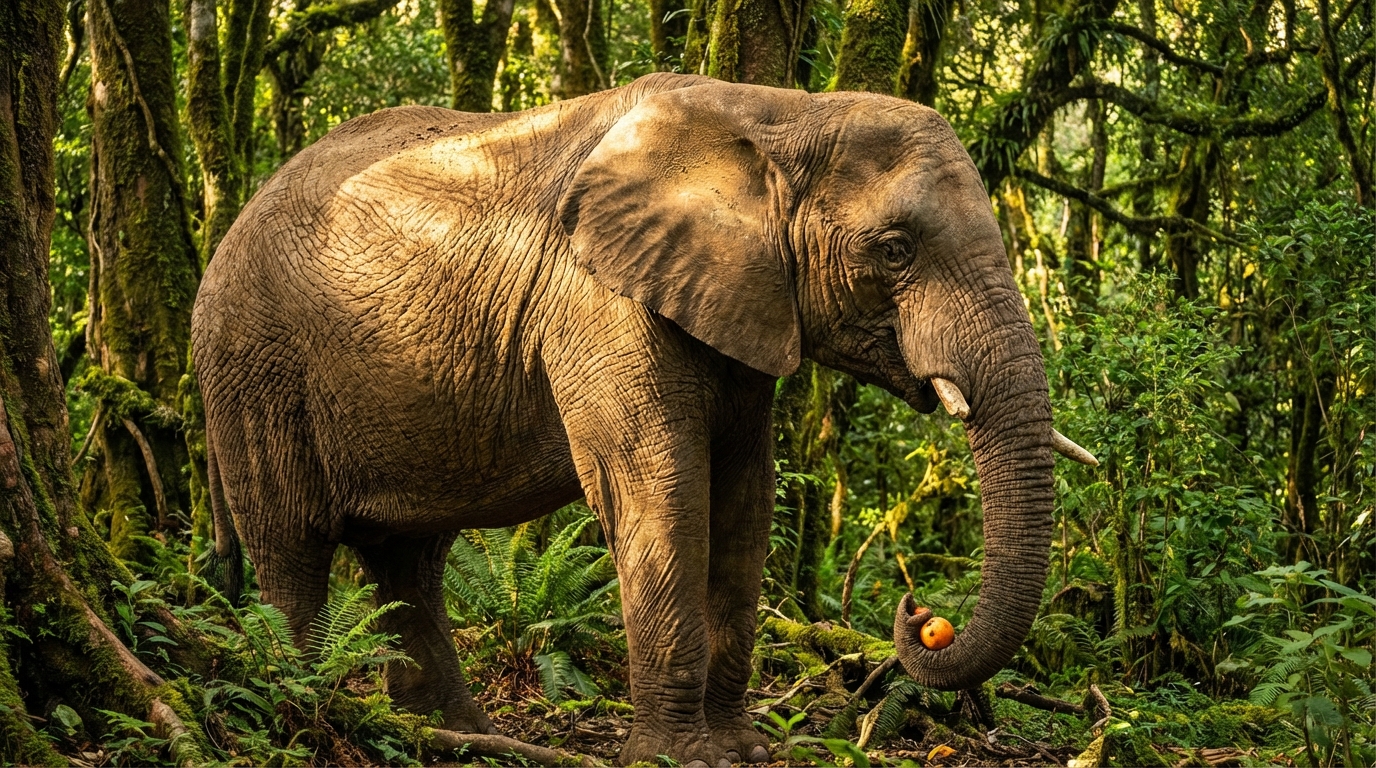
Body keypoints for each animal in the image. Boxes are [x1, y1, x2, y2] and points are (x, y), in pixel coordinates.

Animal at [191, 71, 1096, 766]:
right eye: (897, 249)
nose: (917, 616)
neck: (782, 114)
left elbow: (745, 499)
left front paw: (744, 753)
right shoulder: (598, 302)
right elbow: (660, 487)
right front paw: (679, 759)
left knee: (409, 560)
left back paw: (454, 736)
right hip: (252, 368)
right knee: (295, 544)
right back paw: (315, 710)